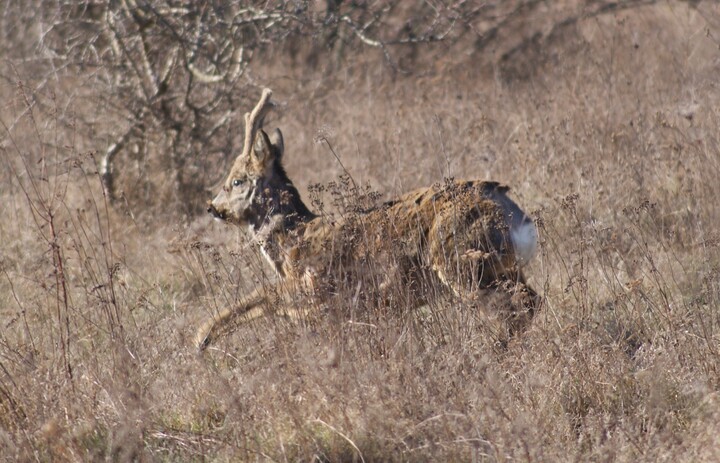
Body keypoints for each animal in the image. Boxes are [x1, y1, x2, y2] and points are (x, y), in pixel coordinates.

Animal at [194, 89, 536, 352]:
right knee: (529, 301)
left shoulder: (316, 289)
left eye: (237, 180)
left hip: (461, 259)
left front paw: (201, 337)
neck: (291, 239)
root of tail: (512, 210)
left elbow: (265, 296)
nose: (212, 207)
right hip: (500, 265)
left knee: (517, 307)